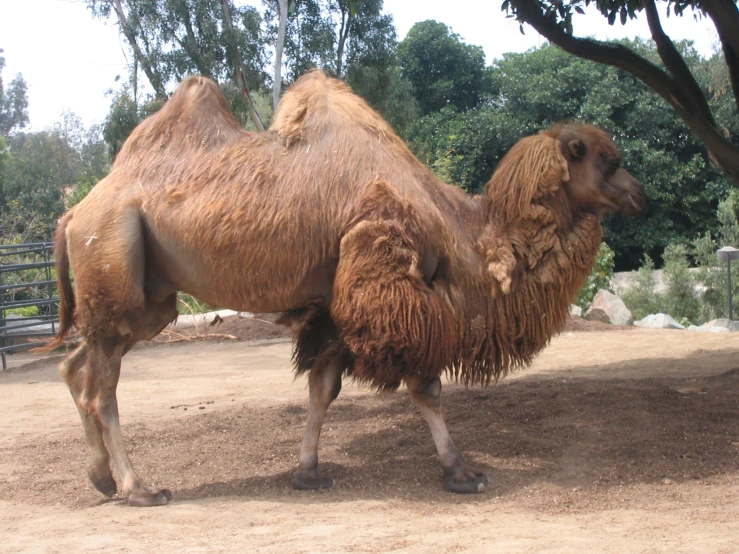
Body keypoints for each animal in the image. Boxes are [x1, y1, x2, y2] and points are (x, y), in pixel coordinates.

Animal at [47, 70, 648, 504]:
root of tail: (73, 212)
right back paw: (139, 489)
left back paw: (101, 480)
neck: (463, 232)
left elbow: (323, 388)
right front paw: (462, 473)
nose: (640, 194)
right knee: (102, 388)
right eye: (607, 160)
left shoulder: (335, 302)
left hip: (148, 297)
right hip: (114, 263)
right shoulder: (386, 278)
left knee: (78, 367)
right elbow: (424, 386)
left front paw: (308, 473)